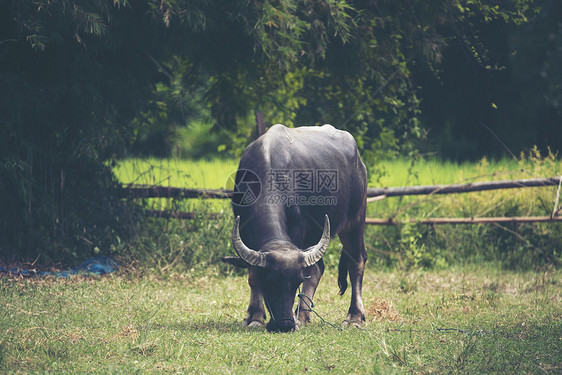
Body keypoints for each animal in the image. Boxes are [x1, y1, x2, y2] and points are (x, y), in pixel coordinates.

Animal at [223, 125, 368, 334]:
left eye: (297, 282)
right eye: (270, 281)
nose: (285, 324)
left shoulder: (299, 231)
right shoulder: (245, 233)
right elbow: (253, 276)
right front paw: (255, 317)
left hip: (355, 219)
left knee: (356, 261)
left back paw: (354, 317)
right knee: (317, 269)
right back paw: (302, 316)